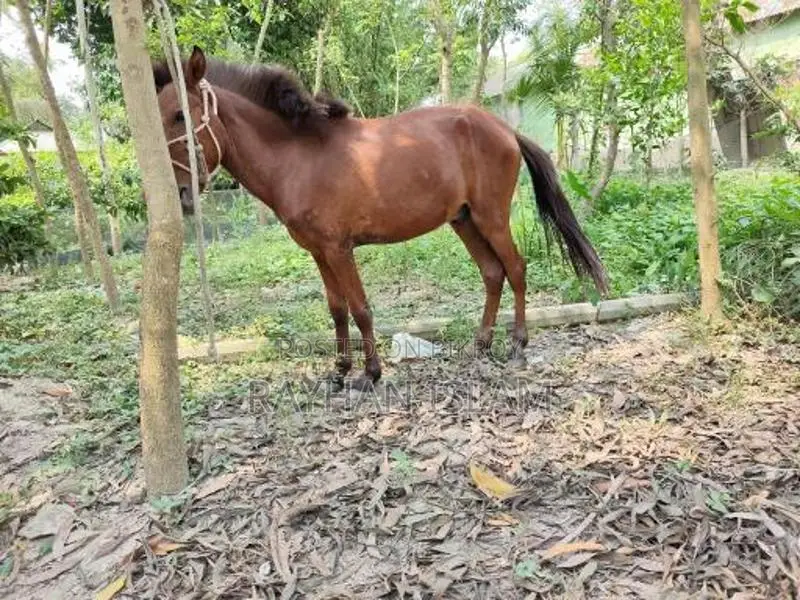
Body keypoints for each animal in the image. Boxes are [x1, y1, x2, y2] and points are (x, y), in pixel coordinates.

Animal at [153, 46, 608, 390]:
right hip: (464, 221)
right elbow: (337, 309)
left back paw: (517, 346)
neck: (298, 156)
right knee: (493, 273)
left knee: (515, 268)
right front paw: (339, 371)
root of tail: (505, 129)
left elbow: (360, 309)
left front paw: (369, 374)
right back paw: (480, 344)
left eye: (179, 115)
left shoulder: (339, 249)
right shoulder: (318, 252)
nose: (181, 195)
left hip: (491, 217)